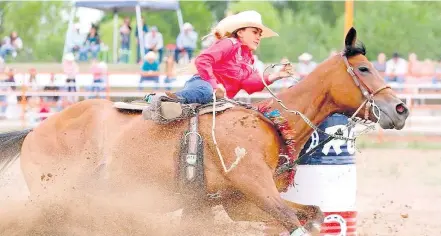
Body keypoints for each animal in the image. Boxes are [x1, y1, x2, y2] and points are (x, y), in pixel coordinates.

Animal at [0, 27, 408, 234]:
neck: (268, 124)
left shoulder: (235, 203)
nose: (401, 108)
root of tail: (33, 133)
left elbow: (313, 213)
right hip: (54, 196)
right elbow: (296, 220)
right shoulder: (255, 187)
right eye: (365, 68)